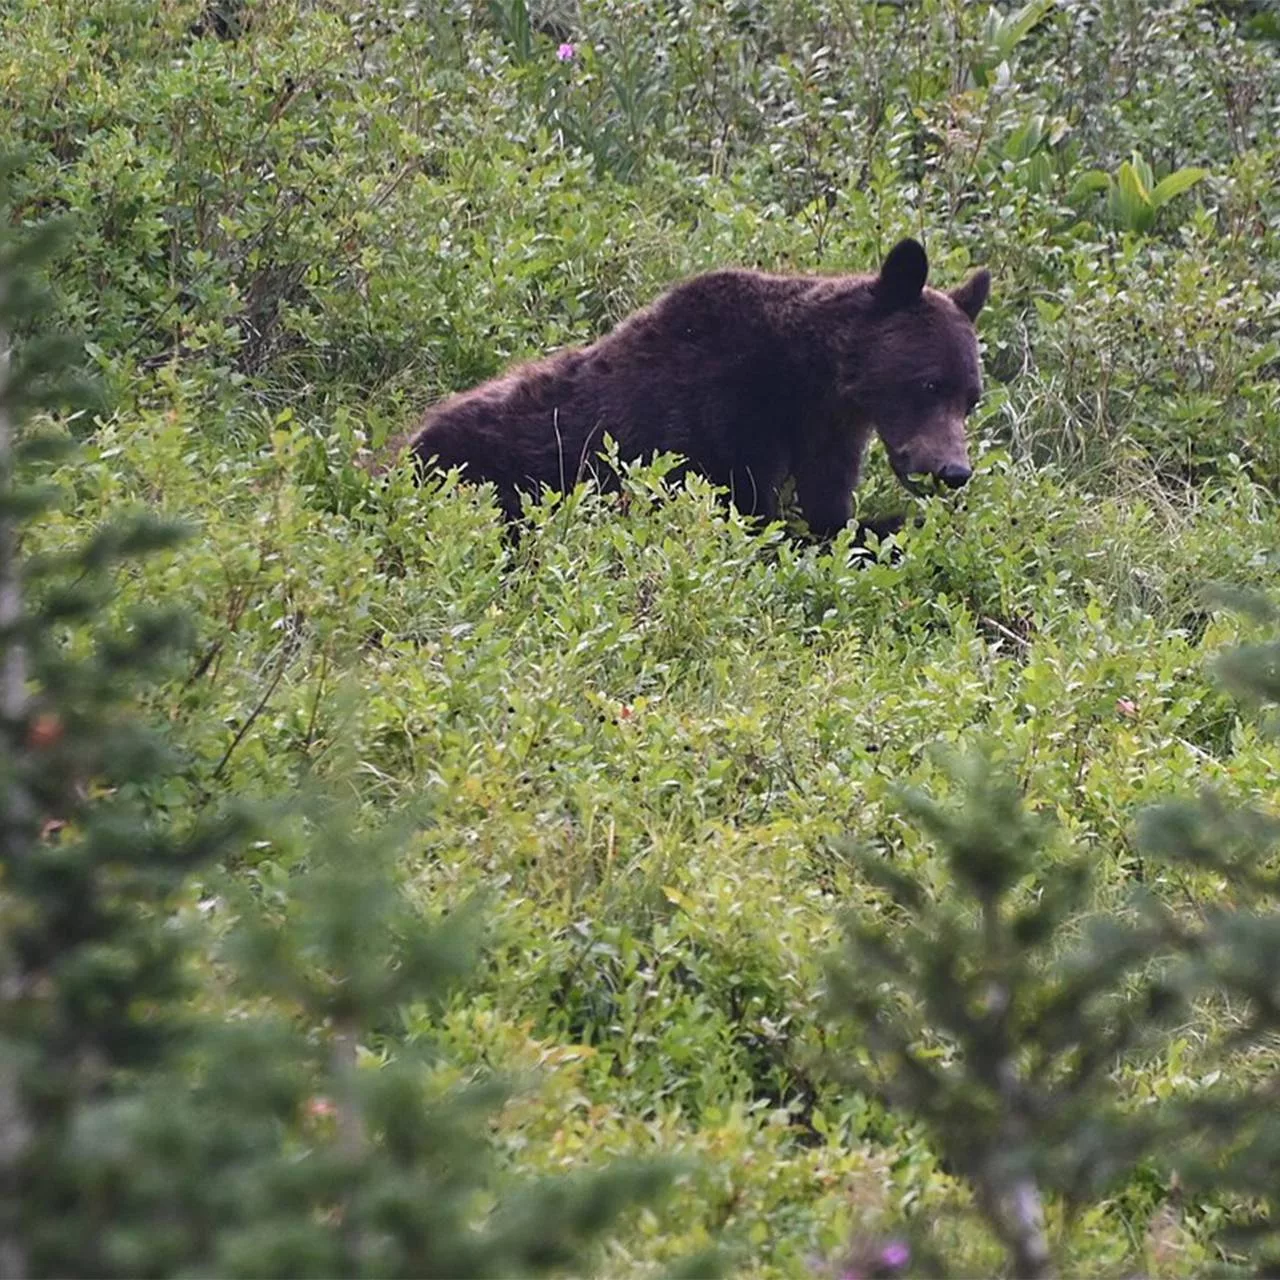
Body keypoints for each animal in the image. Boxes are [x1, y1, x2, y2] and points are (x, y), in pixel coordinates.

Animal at [403, 238, 990, 538]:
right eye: (929, 383)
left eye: (971, 397)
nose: (953, 471)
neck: (811, 386)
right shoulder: (724, 418)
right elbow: (754, 517)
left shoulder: (828, 435)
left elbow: (828, 512)